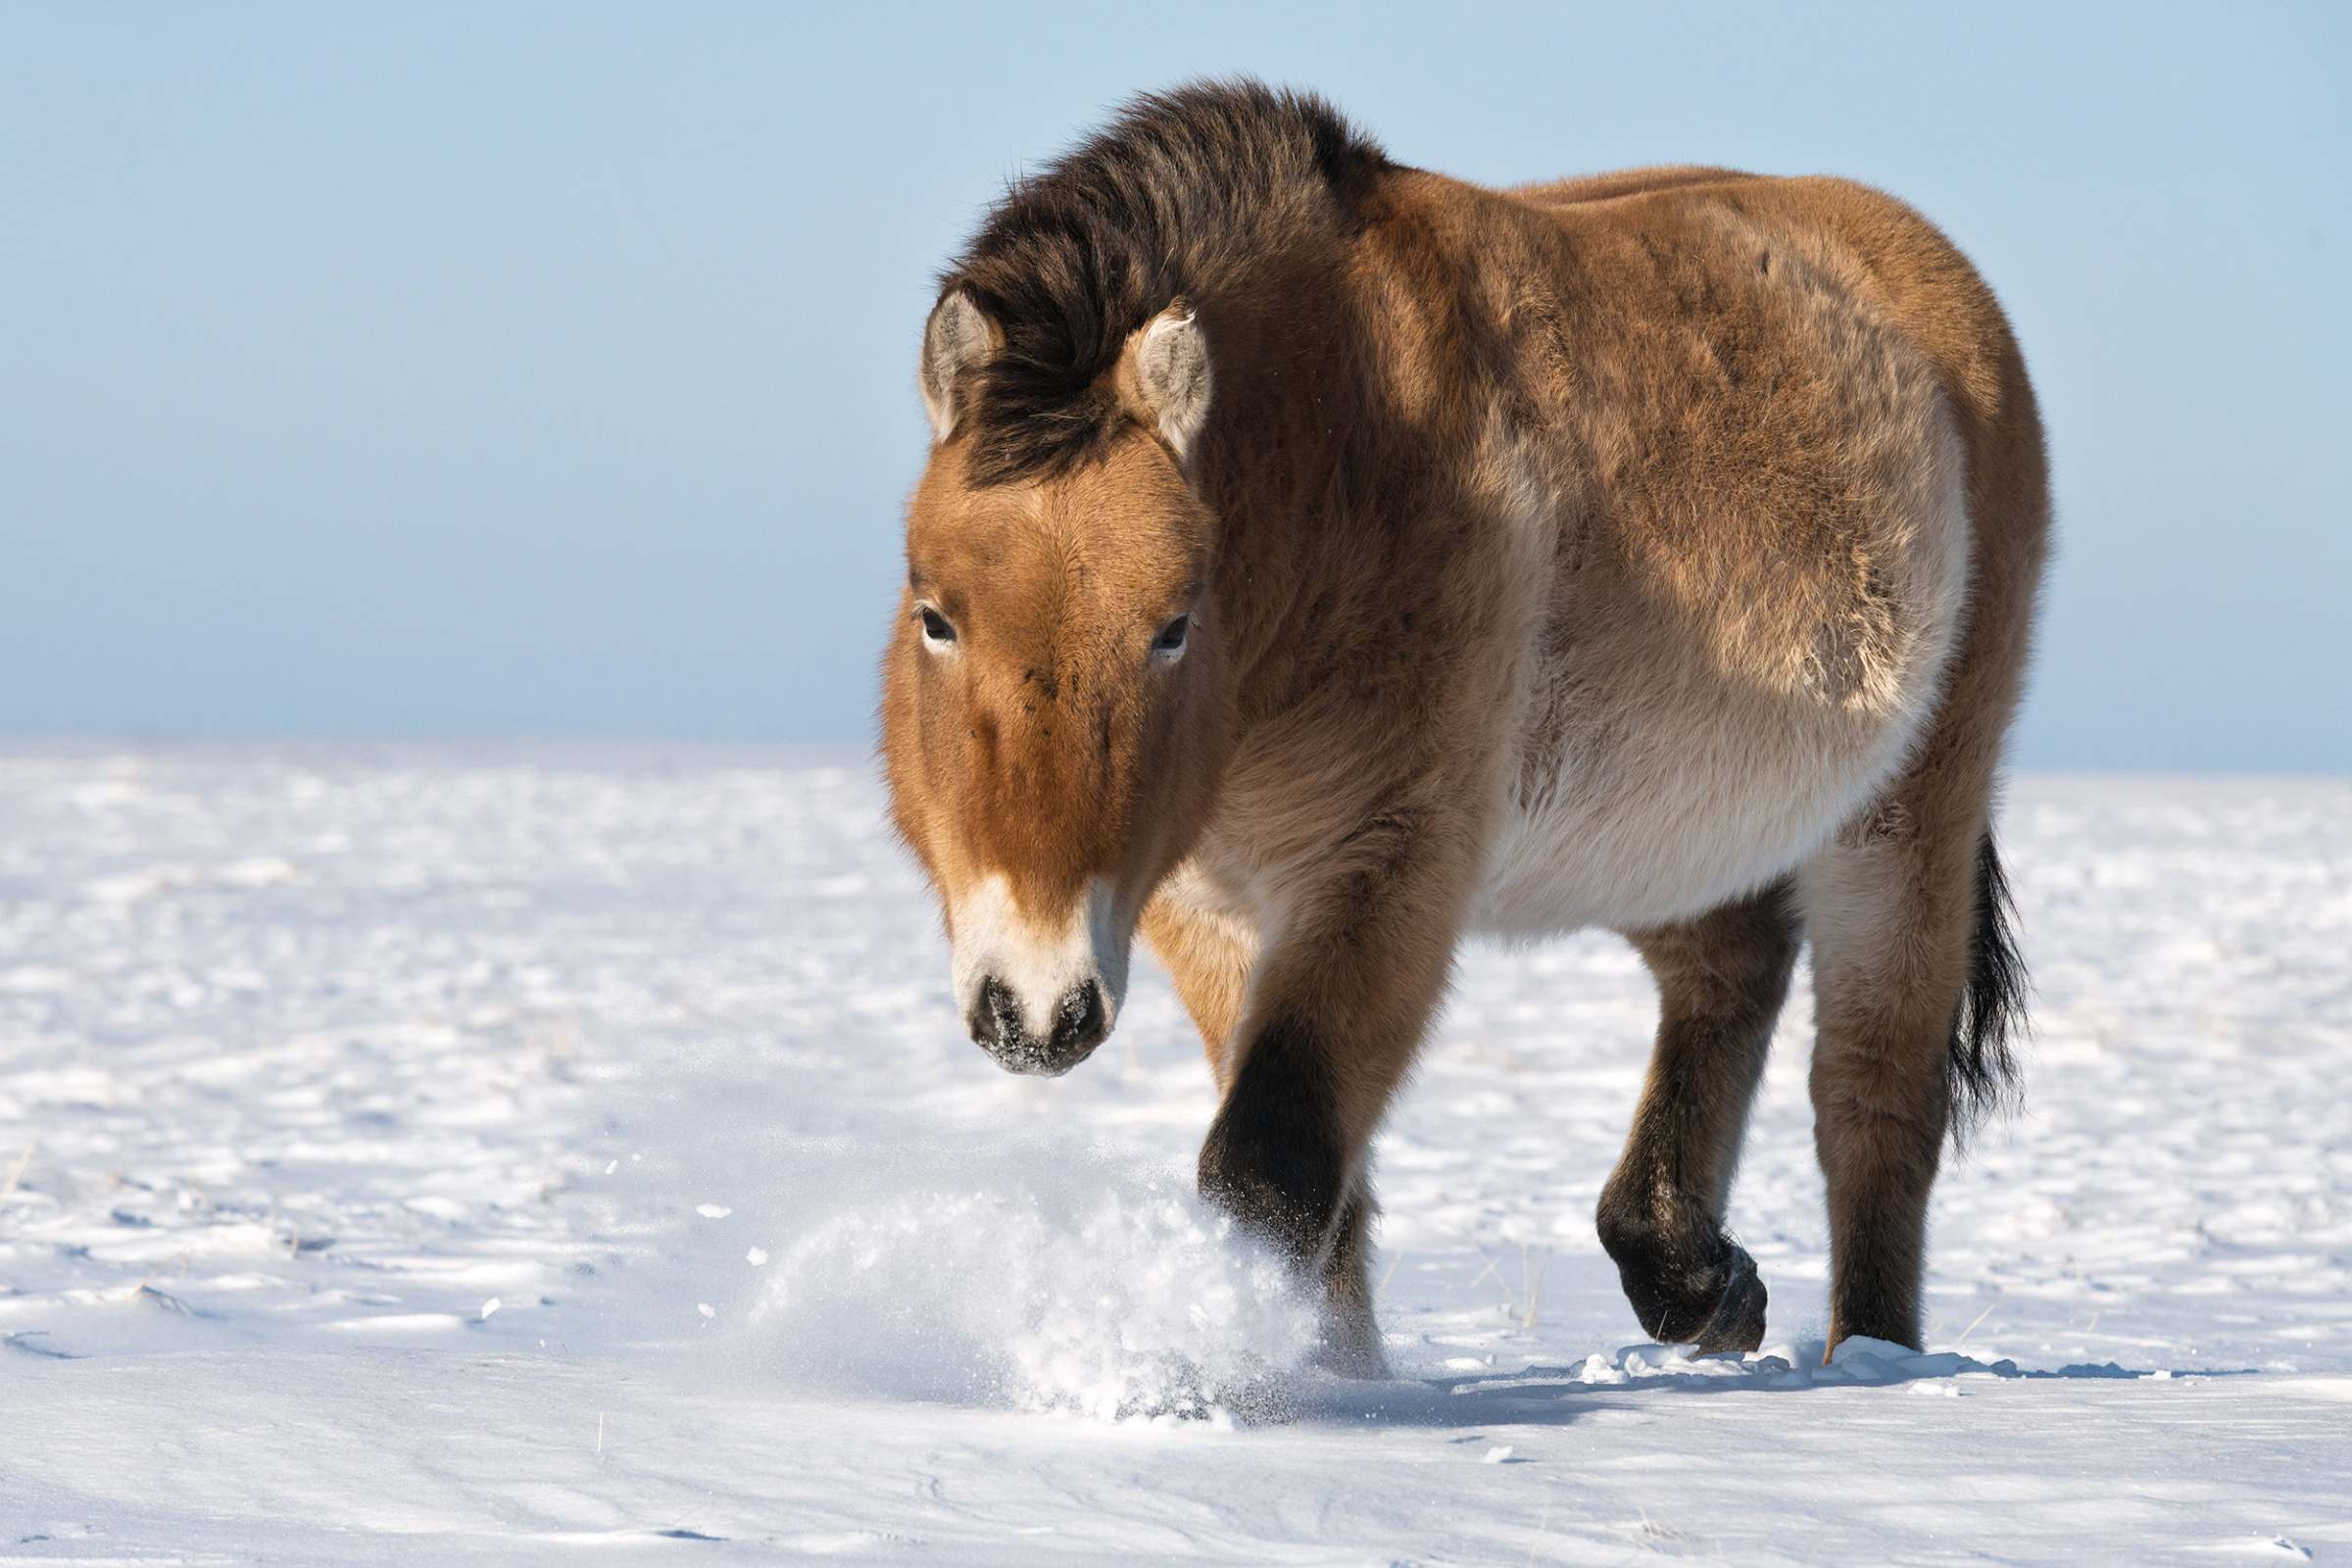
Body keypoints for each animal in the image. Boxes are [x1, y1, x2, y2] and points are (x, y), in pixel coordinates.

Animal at [884, 79, 2041, 1372]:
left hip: (1908, 821)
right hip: (1655, 833)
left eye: (1173, 625)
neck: (1342, 465)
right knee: (1730, 964)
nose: (1035, 1010)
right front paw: (1336, 1373)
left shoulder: (1385, 868)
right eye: (935, 615)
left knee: (1873, 1099)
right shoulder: (1203, 906)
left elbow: (1272, 1164)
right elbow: (1322, 1190)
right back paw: (1695, 1278)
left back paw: (1872, 1360)